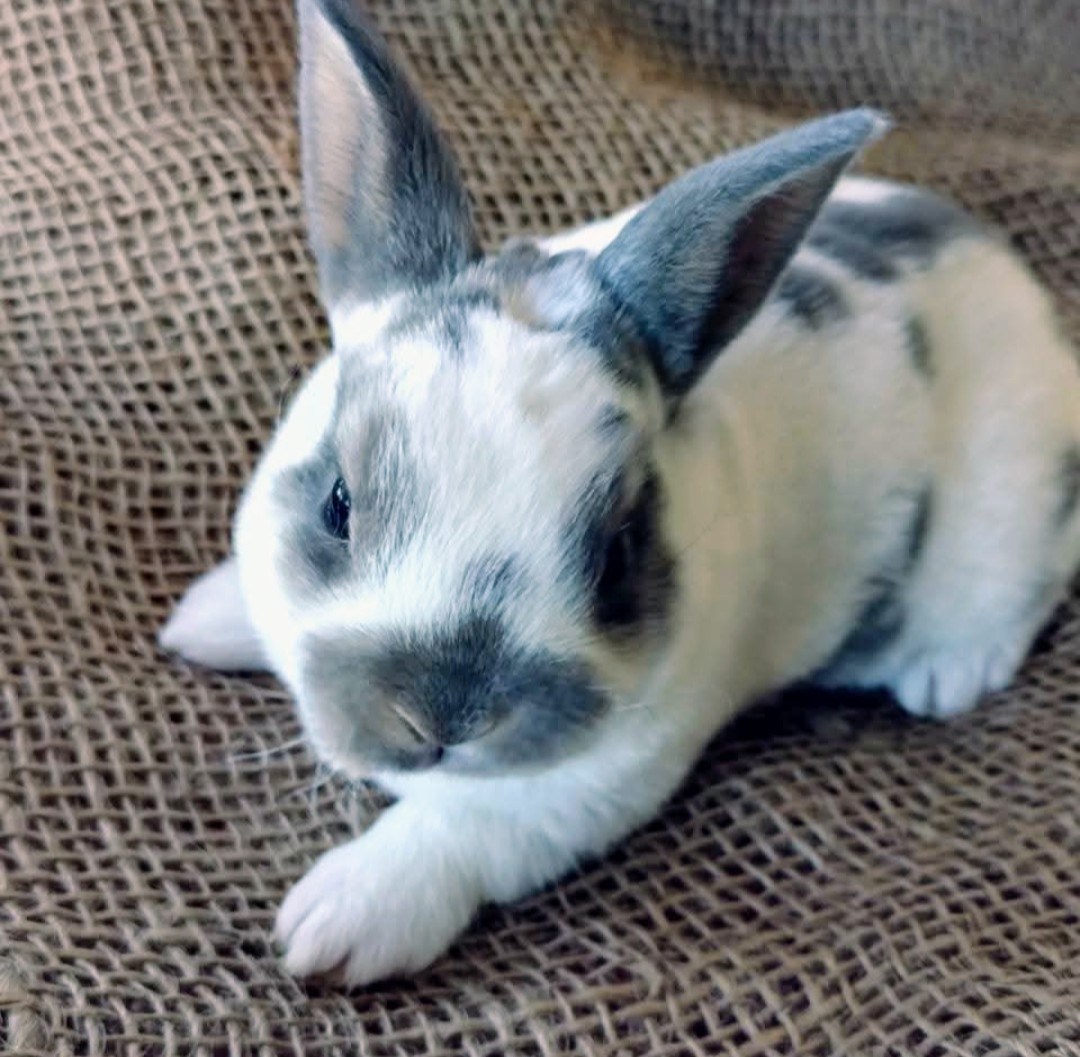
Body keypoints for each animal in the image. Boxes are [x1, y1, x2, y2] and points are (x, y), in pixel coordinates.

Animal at [159, 0, 1080, 987]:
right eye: (337, 502)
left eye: (618, 553)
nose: (444, 717)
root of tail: (1028, 300)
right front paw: (202, 619)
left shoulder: (584, 786)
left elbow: (454, 831)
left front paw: (335, 925)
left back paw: (945, 673)